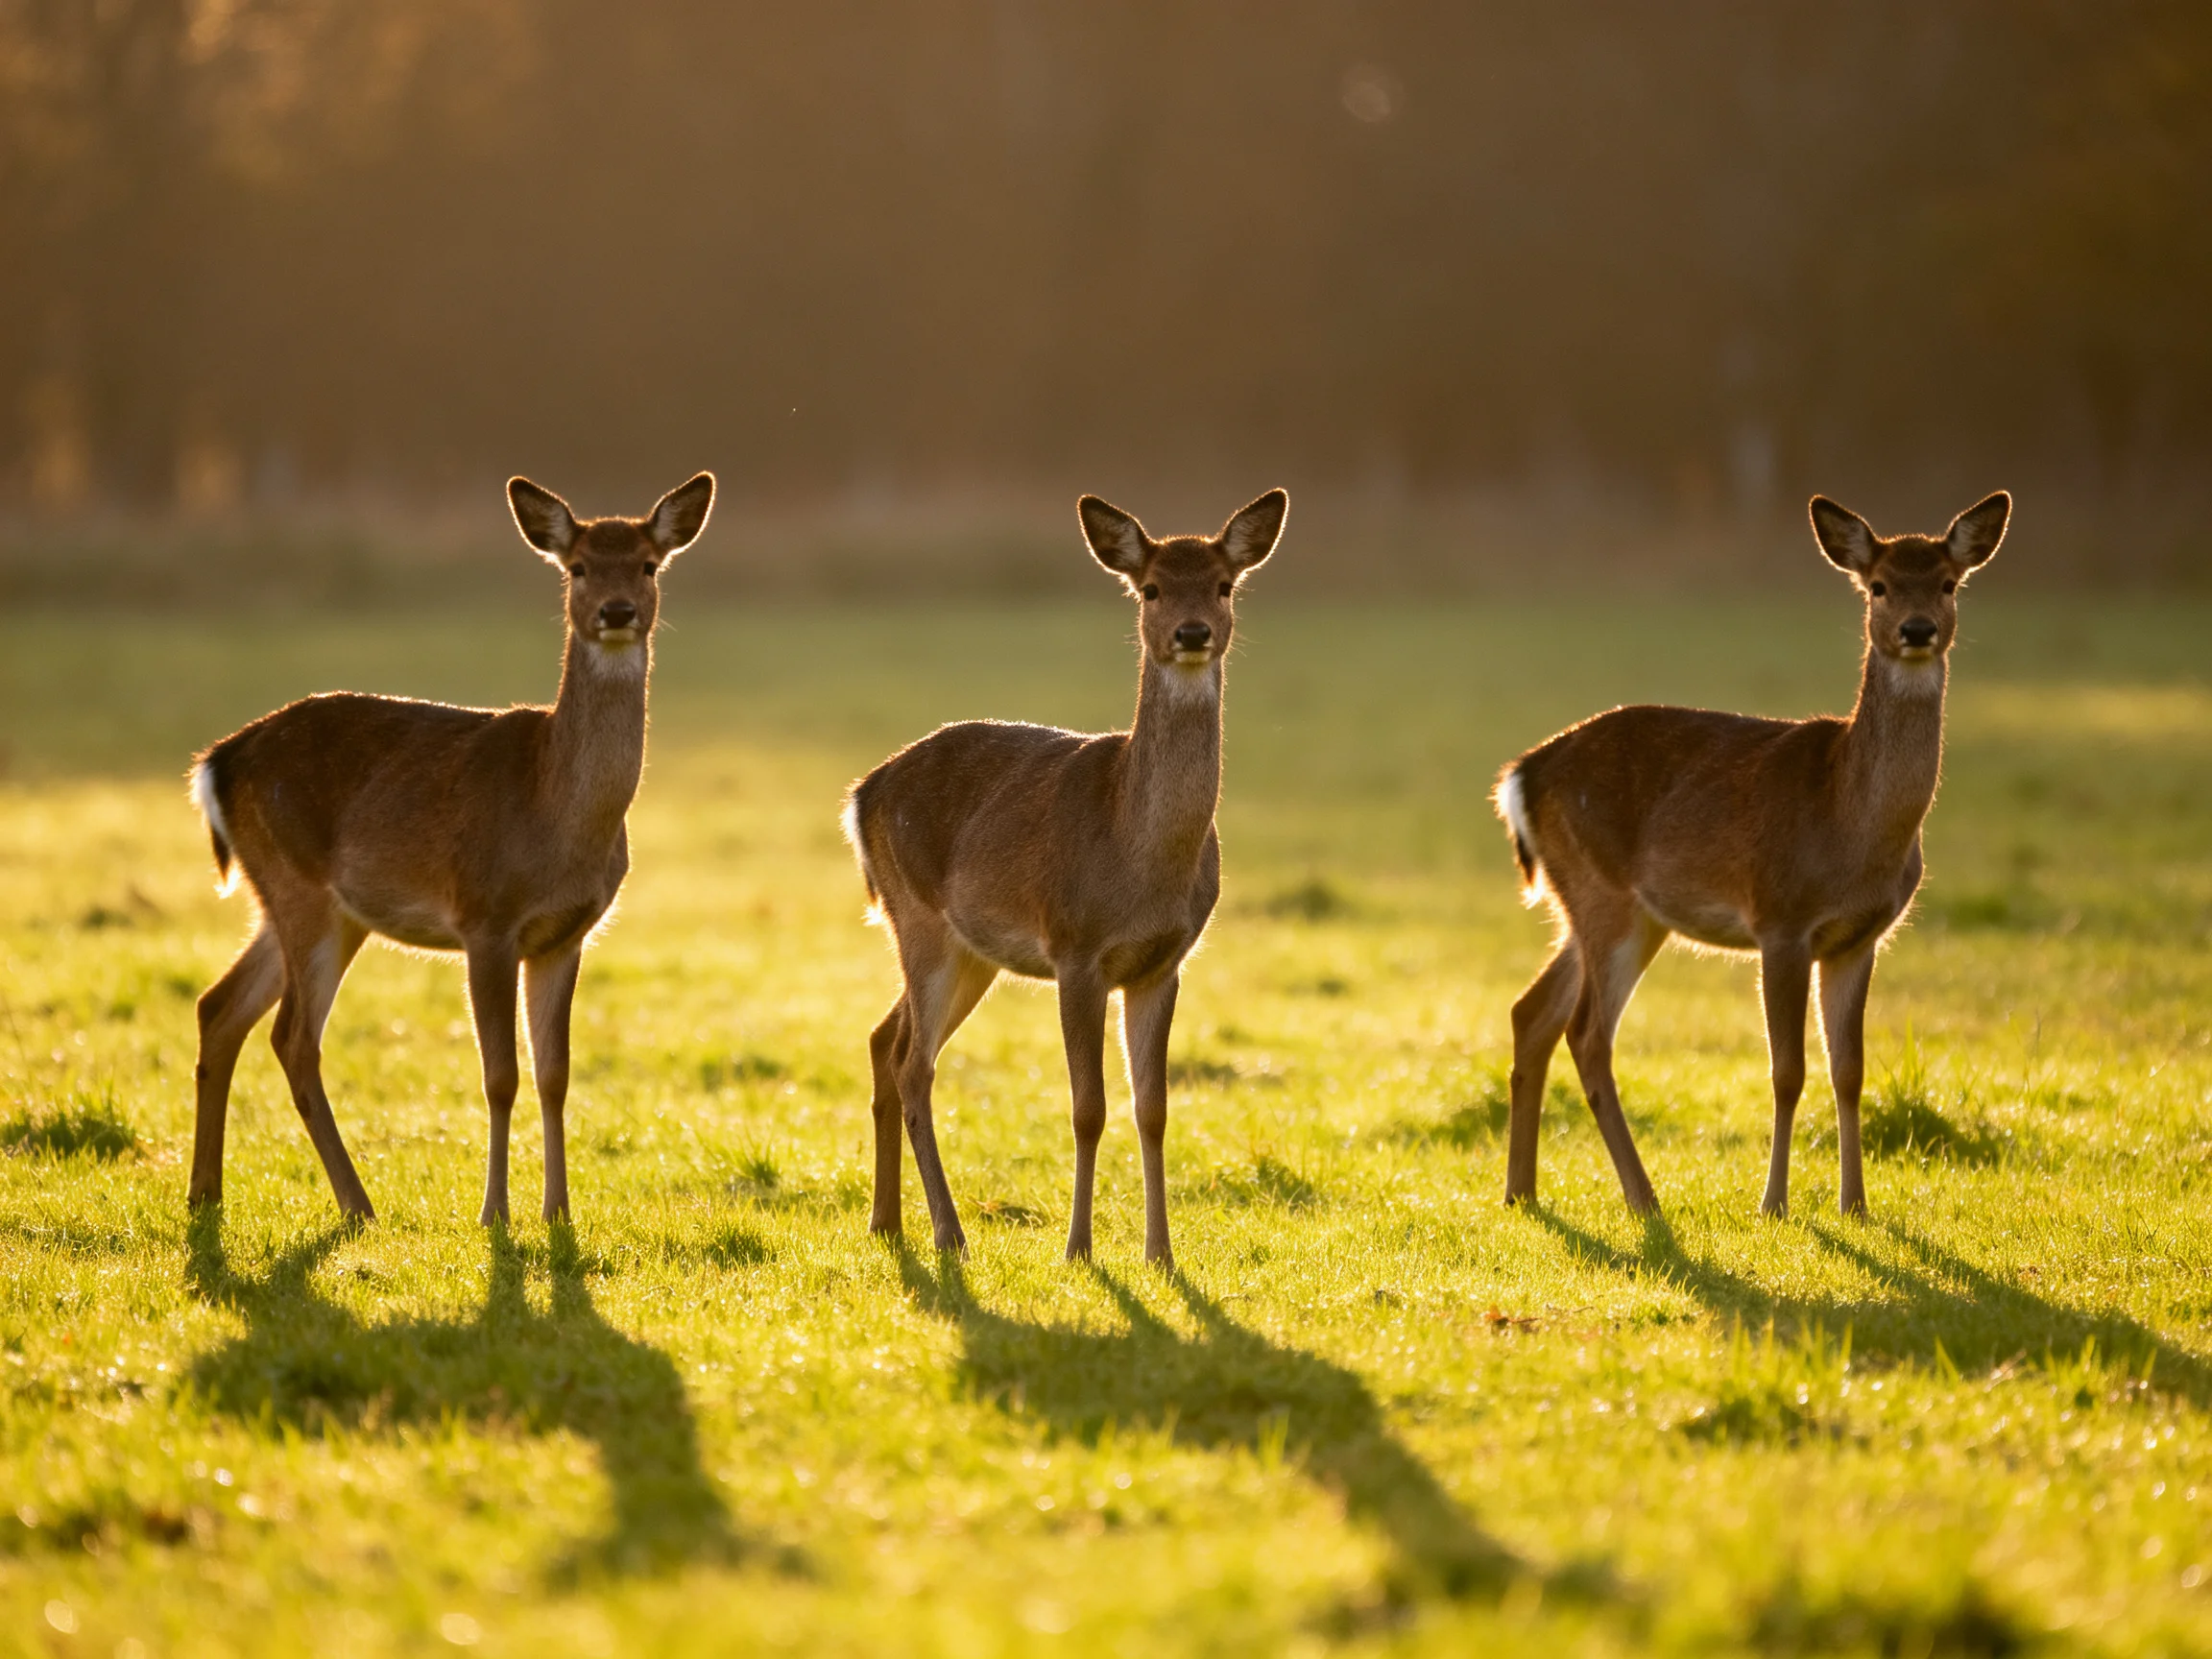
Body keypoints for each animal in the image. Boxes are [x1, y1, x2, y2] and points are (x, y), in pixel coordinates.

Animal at [185, 472, 714, 1224]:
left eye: (648, 564)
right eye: (578, 567)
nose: (617, 612)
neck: (555, 813)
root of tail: (217, 762)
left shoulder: (565, 935)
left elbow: (555, 1073)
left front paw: (558, 1211)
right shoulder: (485, 918)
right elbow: (500, 1075)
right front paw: (495, 1213)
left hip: (301, 901)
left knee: (220, 1007)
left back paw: (206, 1192)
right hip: (301, 888)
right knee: (293, 1036)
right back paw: (357, 1203)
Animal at [843, 488, 1288, 1267]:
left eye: (1225, 585)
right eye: (1151, 588)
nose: (1193, 631)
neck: (1137, 854)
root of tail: (862, 795)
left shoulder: (1162, 964)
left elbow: (1153, 1108)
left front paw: (1160, 1252)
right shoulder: (1076, 949)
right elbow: (1088, 1108)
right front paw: (1079, 1247)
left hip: (971, 952)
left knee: (882, 1039)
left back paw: (887, 1221)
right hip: (917, 915)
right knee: (914, 1065)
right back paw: (950, 1232)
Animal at [1492, 490, 2010, 1219]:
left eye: (1948, 583)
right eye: (1878, 585)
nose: (1916, 630)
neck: (1850, 822)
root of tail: (1522, 775)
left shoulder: (1859, 938)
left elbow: (1849, 1071)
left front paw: (1856, 1204)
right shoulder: (1781, 920)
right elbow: (1787, 1071)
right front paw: (1775, 1203)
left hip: (1607, 908)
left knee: (1532, 1012)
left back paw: (1523, 1190)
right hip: (1605, 896)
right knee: (1587, 1033)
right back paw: (1643, 1196)